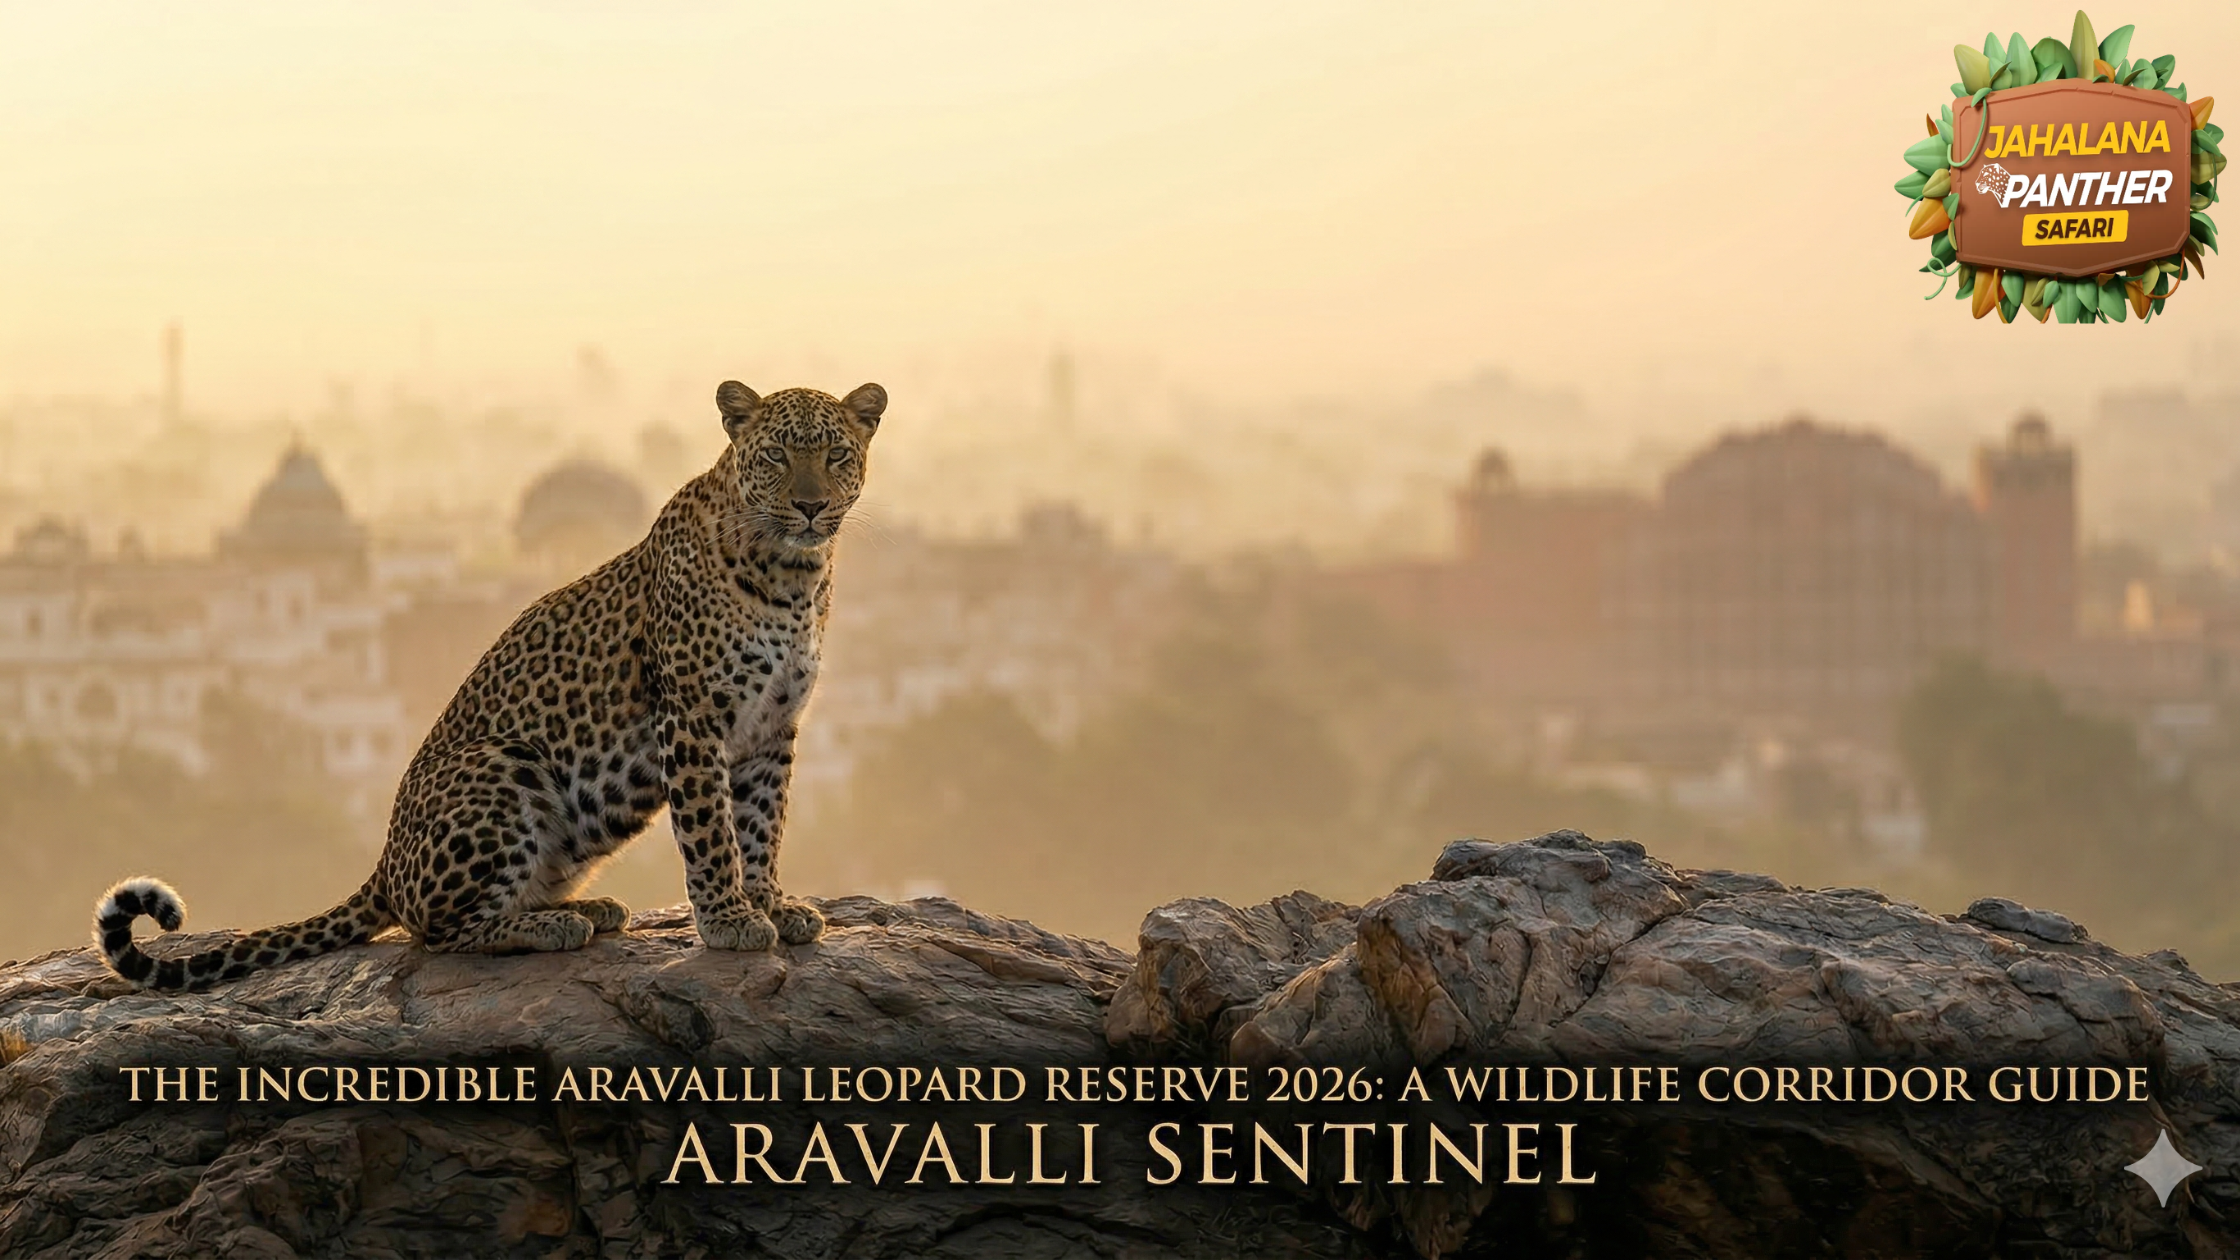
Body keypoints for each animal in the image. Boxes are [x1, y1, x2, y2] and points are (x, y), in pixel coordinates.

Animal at [93, 380, 887, 989]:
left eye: (836, 453)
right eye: (777, 454)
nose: (811, 506)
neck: (792, 575)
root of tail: (384, 866)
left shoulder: (772, 728)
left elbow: (762, 825)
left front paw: (773, 905)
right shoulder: (692, 717)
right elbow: (711, 831)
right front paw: (727, 921)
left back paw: (584, 910)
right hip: (502, 766)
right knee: (437, 934)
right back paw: (552, 926)